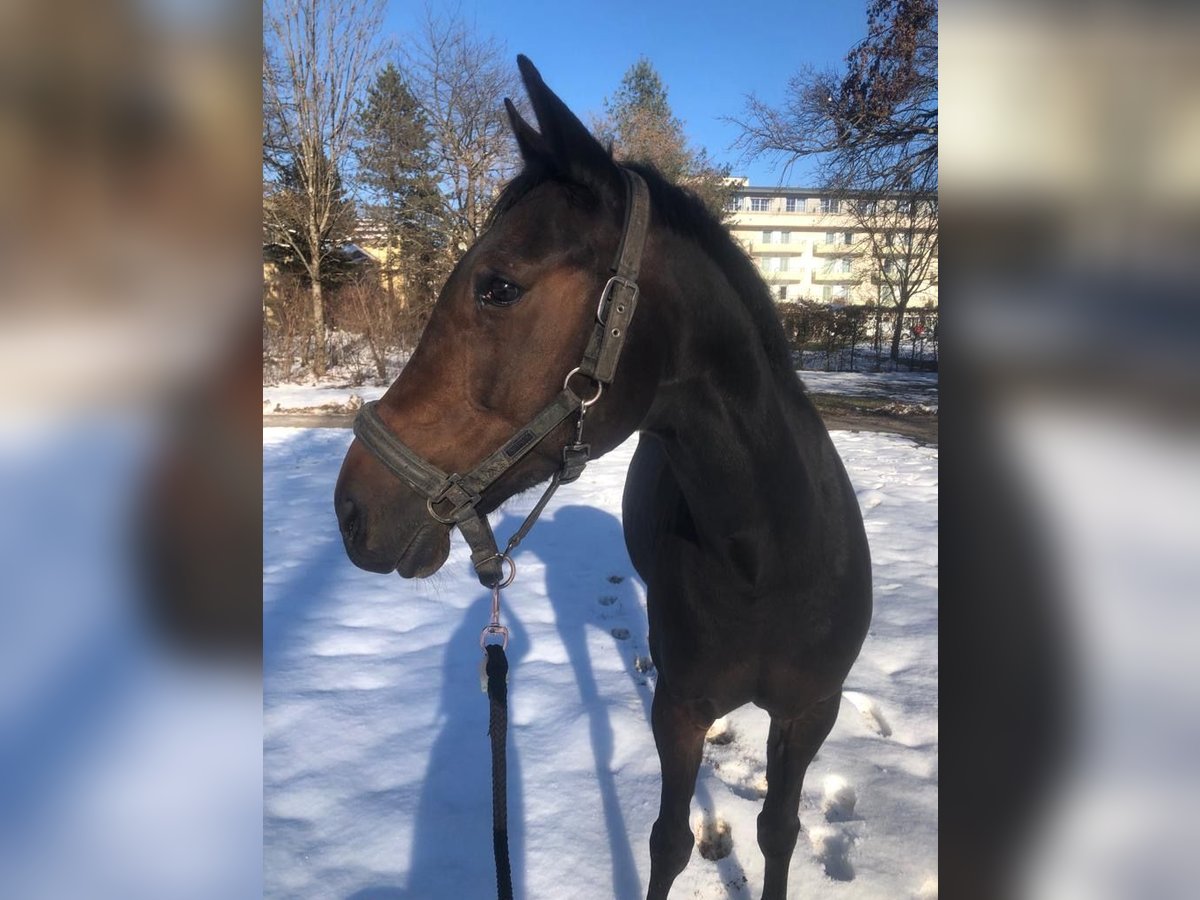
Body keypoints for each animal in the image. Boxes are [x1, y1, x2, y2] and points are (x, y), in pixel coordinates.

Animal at [336, 58, 873, 900]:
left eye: (497, 286)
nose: (352, 509)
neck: (768, 557)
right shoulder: (680, 710)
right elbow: (668, 842)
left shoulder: (810, 713)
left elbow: (779, 832)